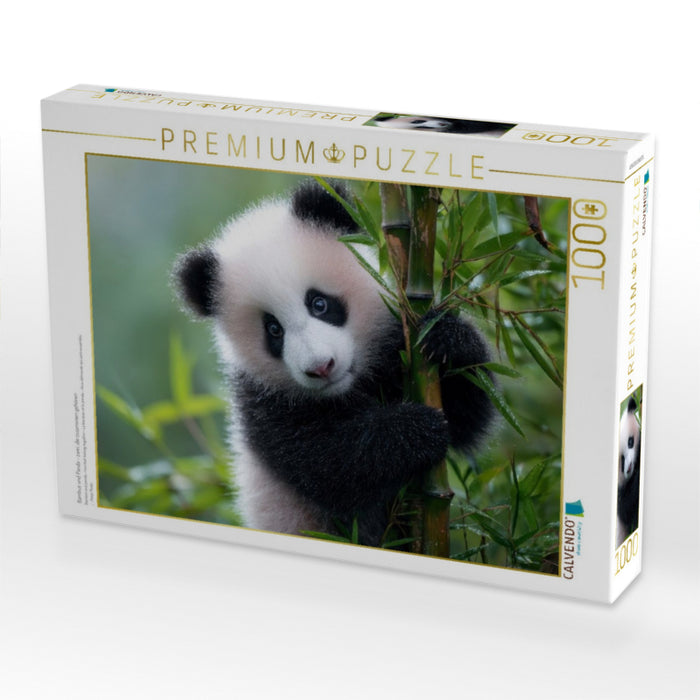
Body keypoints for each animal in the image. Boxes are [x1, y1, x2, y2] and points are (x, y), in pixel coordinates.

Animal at [174, 179, 494, 546]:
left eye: (319, 303)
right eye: (273, 330)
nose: (320, 367)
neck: (349, 388)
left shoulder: (395, 345)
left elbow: (467, 417)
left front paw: (448, 339)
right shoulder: (262, 404)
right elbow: (330, 465)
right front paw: (415, 430)